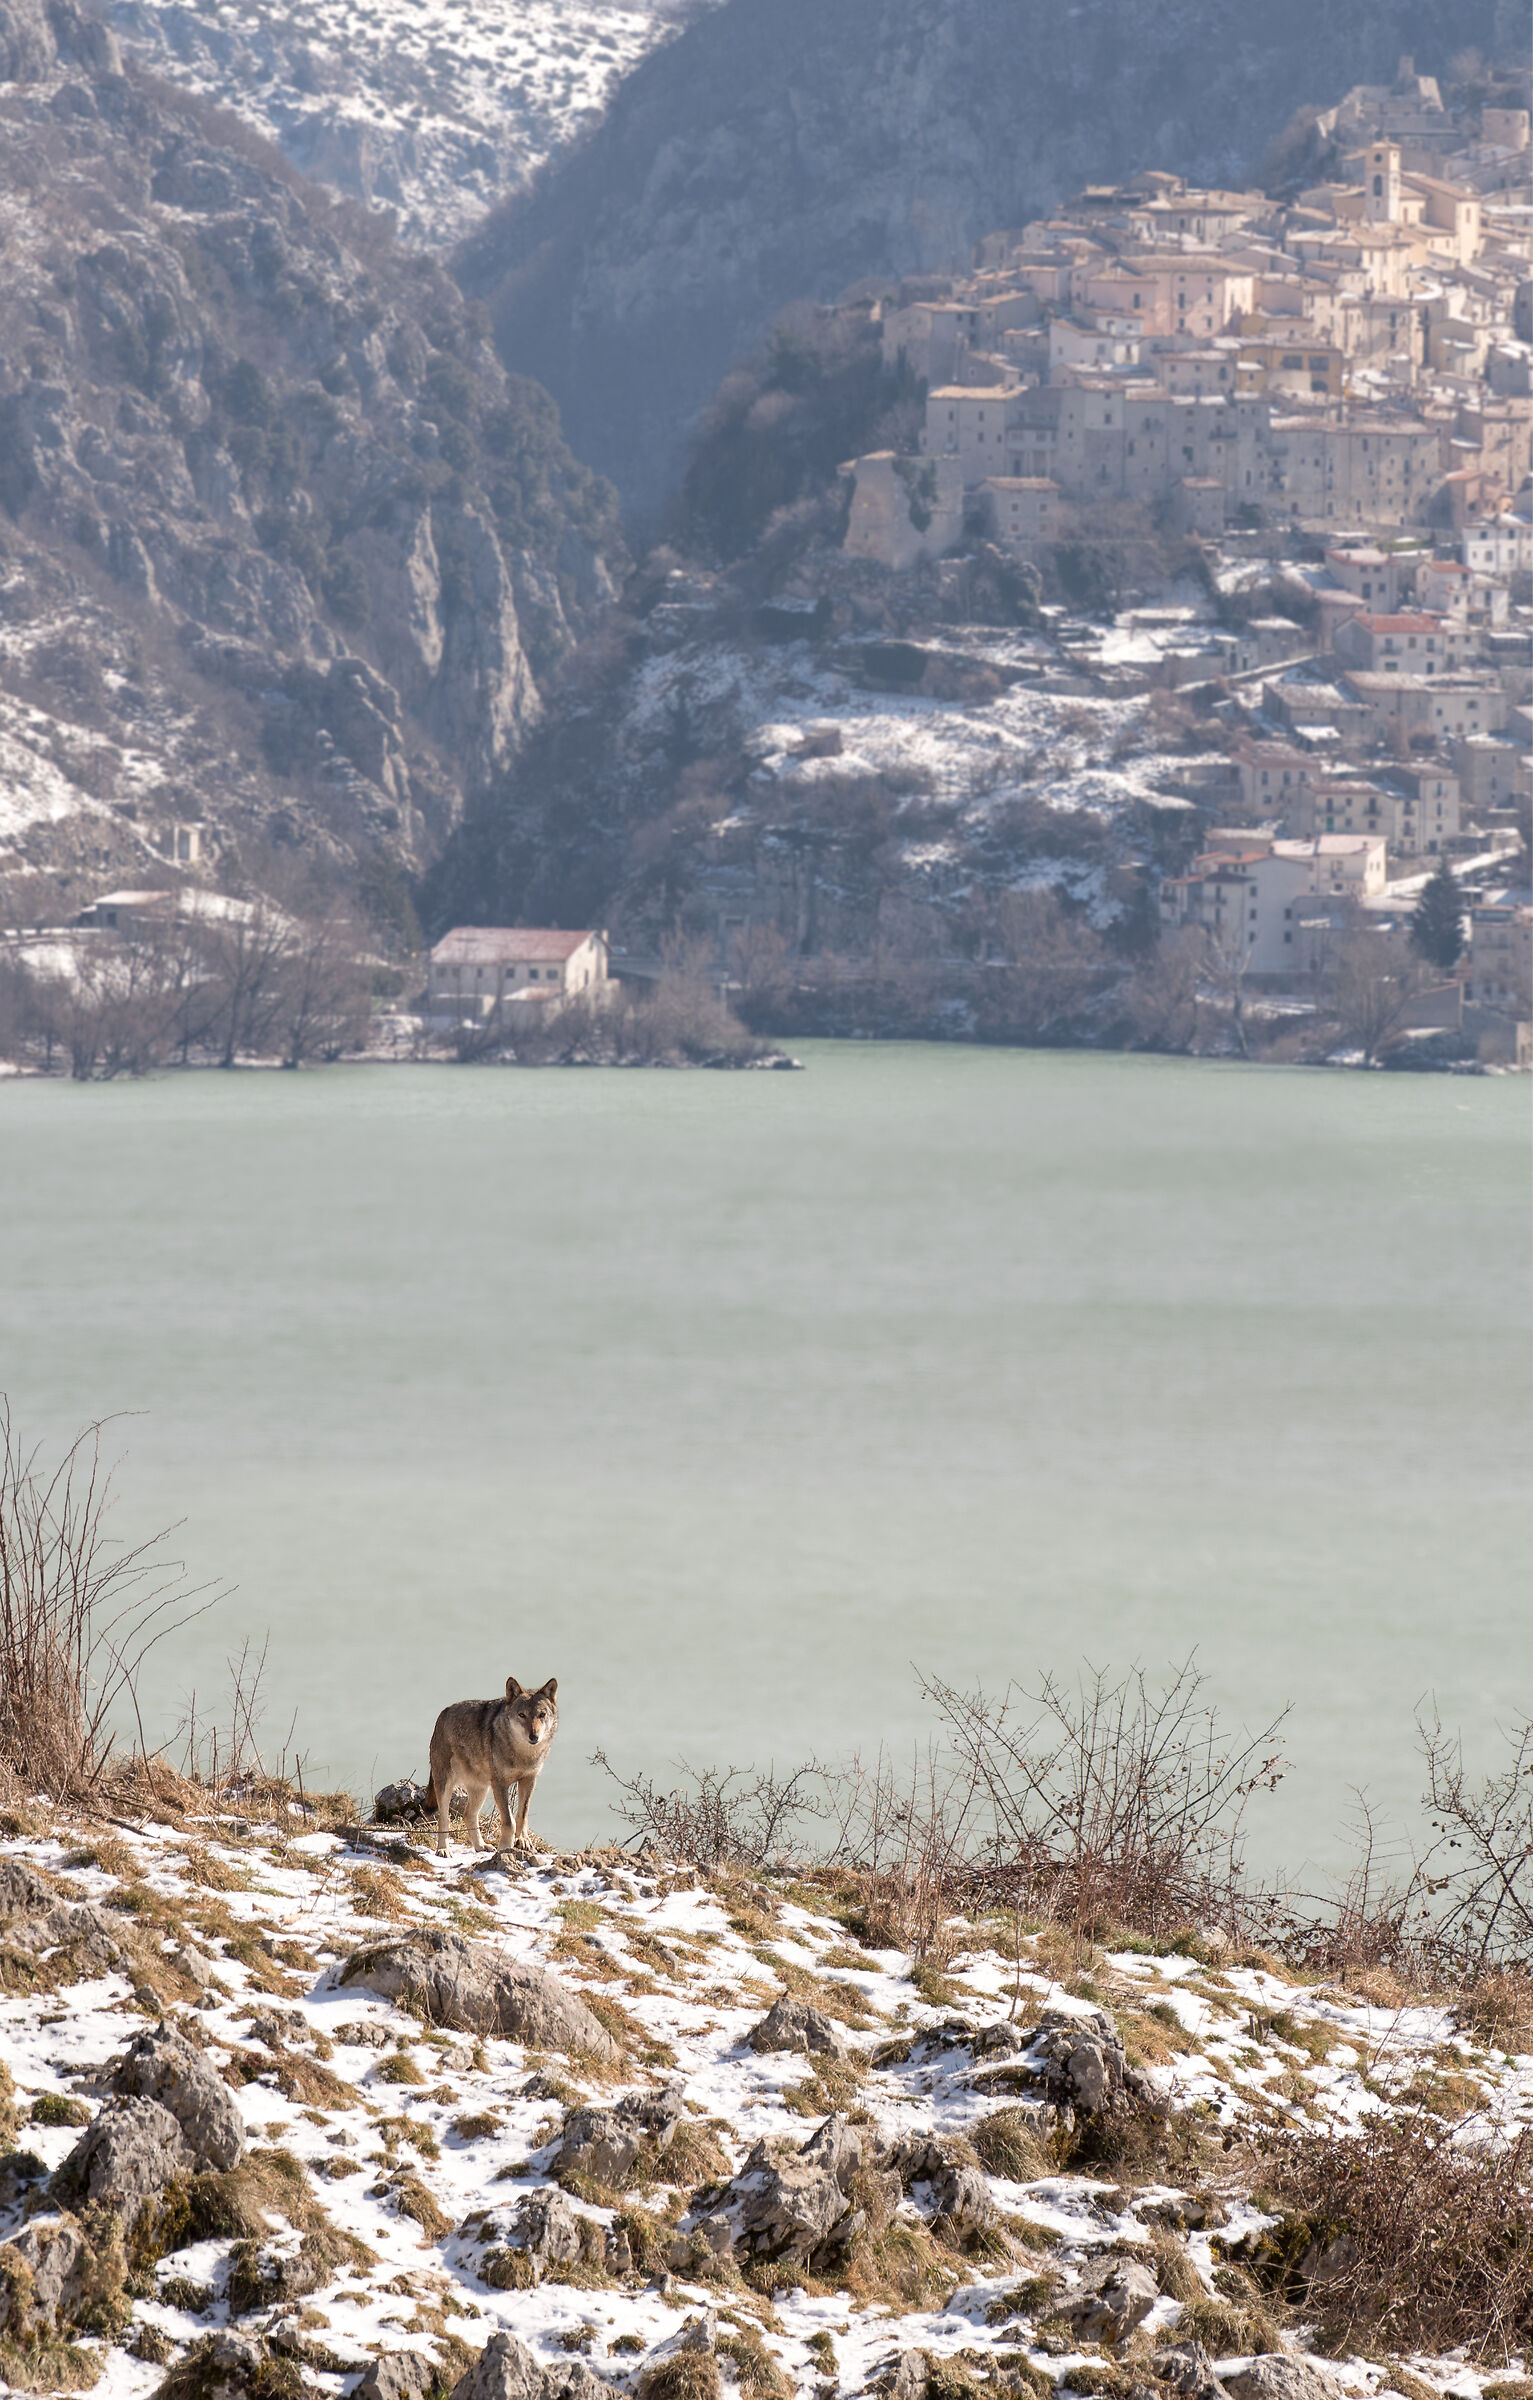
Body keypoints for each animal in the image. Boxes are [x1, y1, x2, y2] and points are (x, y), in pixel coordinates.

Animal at [422, 1676, 559, 1859]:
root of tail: (444, 1712)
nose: (534, 1736)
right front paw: (505, 1848)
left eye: (541, 1715)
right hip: (446, 1786)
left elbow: (522, 1815)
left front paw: (523, 1841)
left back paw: (480, 1846)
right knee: (443, 1819)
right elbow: (509, 1821)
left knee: (468, 1815)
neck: (523, 1754)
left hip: (481, 1789)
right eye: (522, 1715)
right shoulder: (500, 1784)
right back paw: (443, 1850)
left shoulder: (529, 1780)